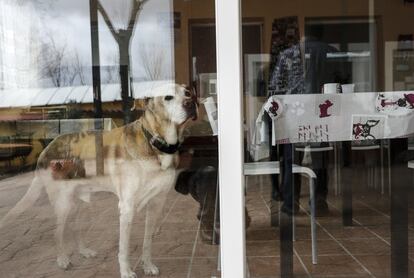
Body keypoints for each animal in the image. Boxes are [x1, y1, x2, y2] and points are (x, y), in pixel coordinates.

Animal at [0, 83, 199, 278]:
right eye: (168, 97)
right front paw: (126, 272)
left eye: (187, 93)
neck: (155, 143)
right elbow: (124, 248)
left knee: (75, 227)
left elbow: (147, 241)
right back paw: (62, 259)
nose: (191, 103)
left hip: (84, 202)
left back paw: (84, 251)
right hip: (63, 203)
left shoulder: (157, 203)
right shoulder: (127, 208)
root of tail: (48, 147)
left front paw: (148, 265)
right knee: (58, 232)